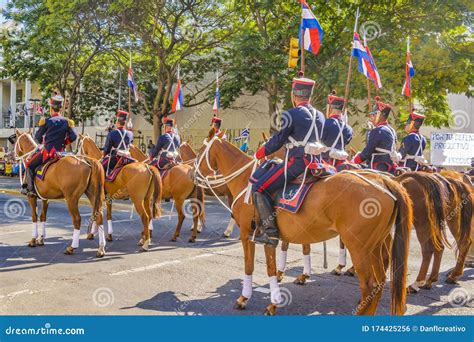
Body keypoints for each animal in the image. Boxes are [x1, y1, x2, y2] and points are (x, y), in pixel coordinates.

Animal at [13, 128, 106, 256]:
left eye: (16, 141)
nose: (13, 155)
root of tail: (86, 160)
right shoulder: (45, 198)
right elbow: (43, 217)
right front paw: (41, 238)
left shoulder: (31, 197)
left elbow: (34, 216)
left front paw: (33, 240)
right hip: (92, 195)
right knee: (99, 216)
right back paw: (101, 248)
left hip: (71, 199)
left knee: (77, 219)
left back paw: (72, 247)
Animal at [194, 130, 412, 316]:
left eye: (199, 151)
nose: (193, 175)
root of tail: (384, 182)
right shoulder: (273, 237)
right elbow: (274, 264)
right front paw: (276, 297)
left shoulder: (247, 235)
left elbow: (250, 267)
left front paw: (246, 298)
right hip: (375, 245)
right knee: (379, 282)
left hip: (359, 247)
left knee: (369, 284)